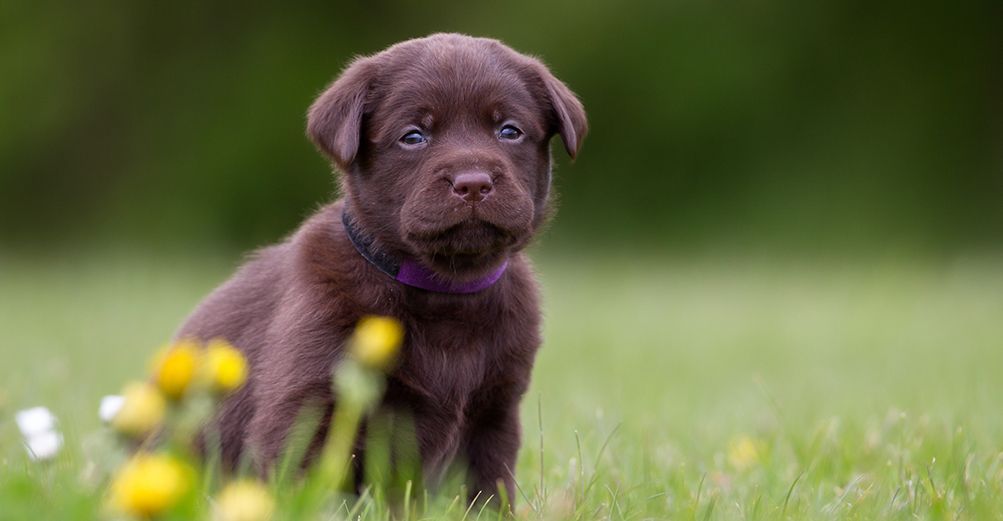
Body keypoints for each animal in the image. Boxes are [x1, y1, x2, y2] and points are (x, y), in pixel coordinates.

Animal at [178, 31, 585, 501]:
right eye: (413, 136)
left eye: (509, 131)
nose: (473, 183)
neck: (446, 289)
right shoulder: (307, 403)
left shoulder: (495, 414)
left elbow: (488, 491)